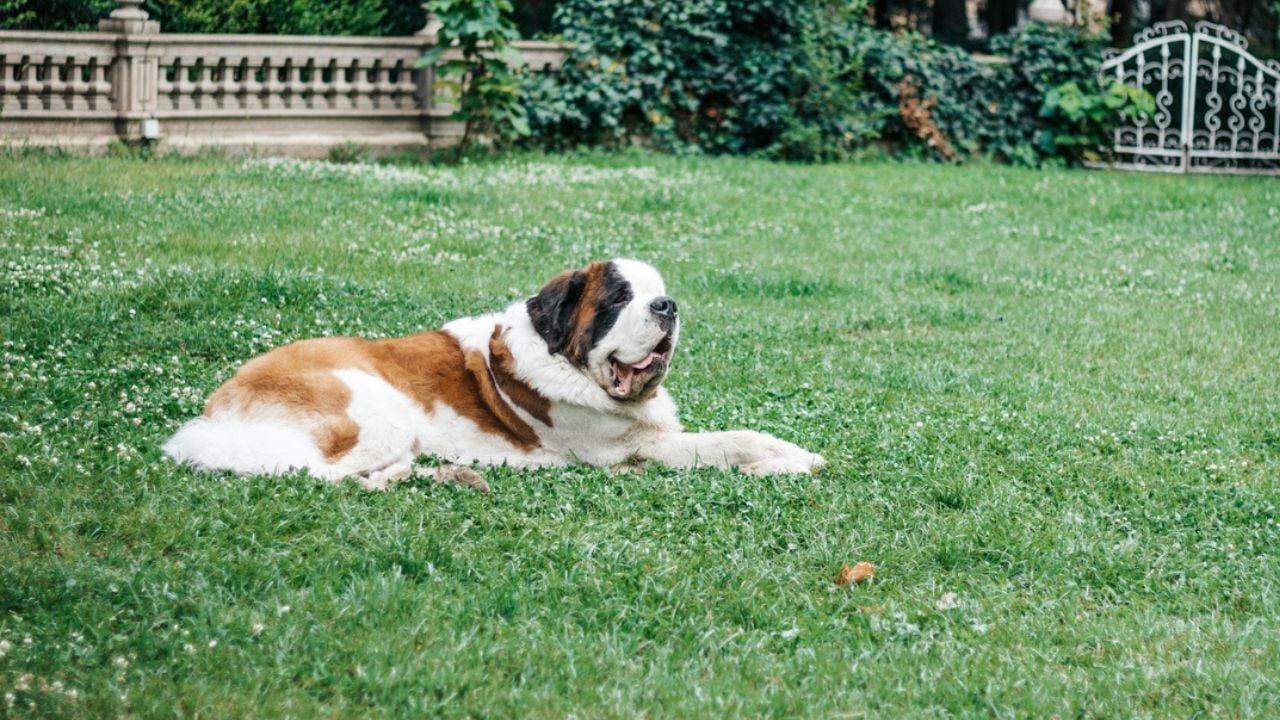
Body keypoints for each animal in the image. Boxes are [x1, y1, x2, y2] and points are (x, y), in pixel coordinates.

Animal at [165, 260, 824, 489]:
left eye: (656, 292)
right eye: (618, 299)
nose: (667, 307)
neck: (566, 364)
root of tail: (215, 409)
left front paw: (790, 453)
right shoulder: (633, 450)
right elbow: (729, 440)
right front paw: (786, 461)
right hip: (378, 410)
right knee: (324, 475)